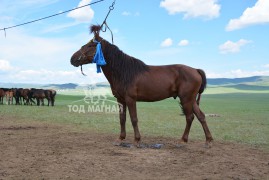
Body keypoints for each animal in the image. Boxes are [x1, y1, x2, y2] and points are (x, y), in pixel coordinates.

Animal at [70, 24, 213, 147]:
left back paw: (183, 140)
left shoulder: (130, 99)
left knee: (190, 117)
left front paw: (137, 140)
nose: (72, 59)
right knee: (201, 116)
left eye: (90, 45)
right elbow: (122, 118)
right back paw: (208, 140)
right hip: (191, 100)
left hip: (186, 99)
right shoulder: (120, 99)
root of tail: (195, 70)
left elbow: (134, 119)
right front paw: (120, 138)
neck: (123, 71)